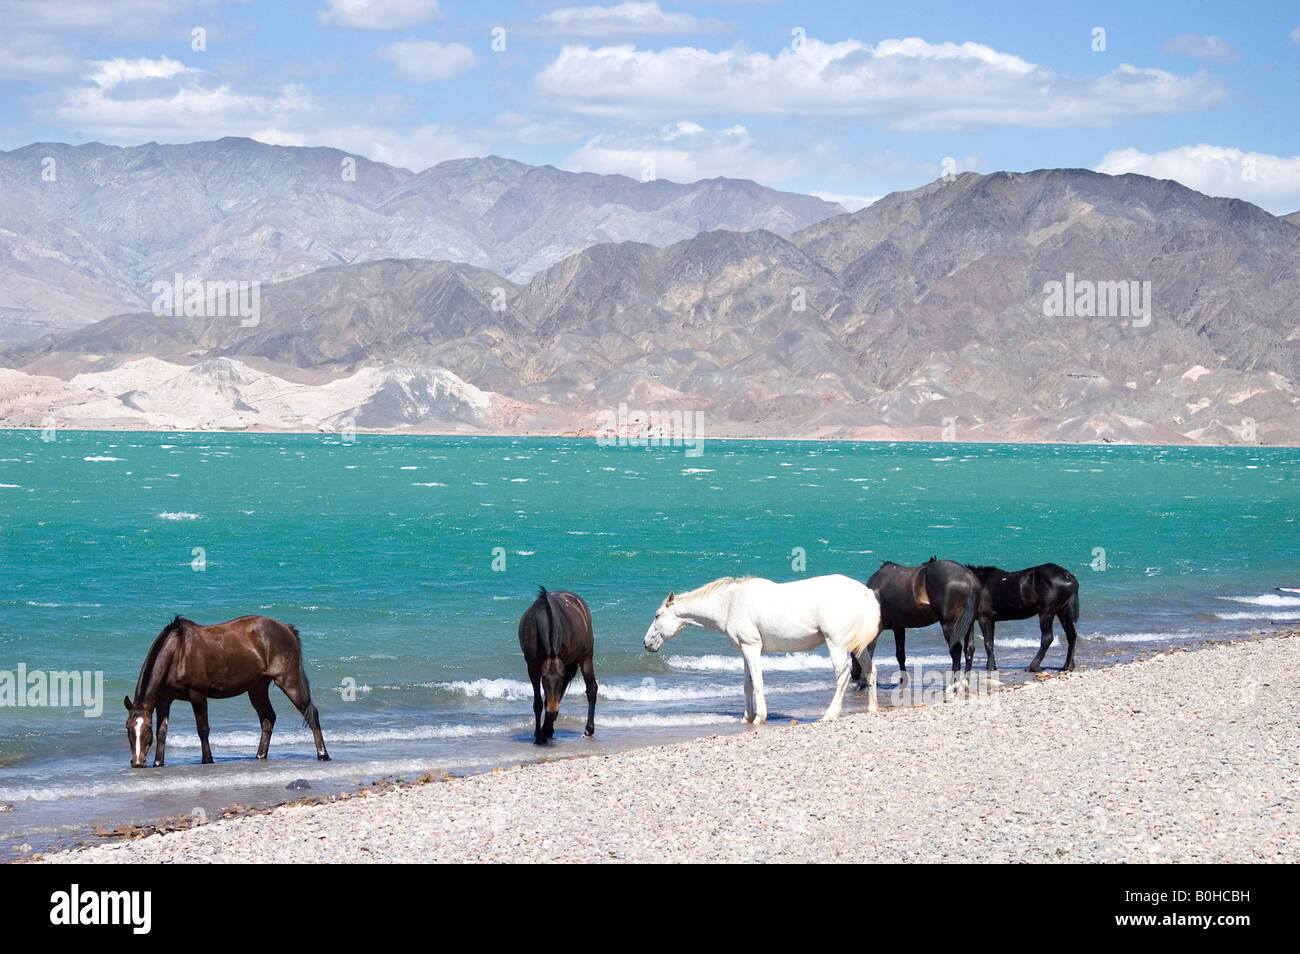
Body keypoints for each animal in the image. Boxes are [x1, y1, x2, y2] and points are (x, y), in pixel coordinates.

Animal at [123, 621, 330, 769]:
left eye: (146, 728)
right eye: (128, 727)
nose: (137, 762)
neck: (177, 653)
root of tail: (287, 629)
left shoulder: (197, 695)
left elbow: (203, 729)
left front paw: (207, 760)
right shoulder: (164, 700)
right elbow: (162, 732)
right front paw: (158, 763)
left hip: (288, 681)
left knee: (311, 713)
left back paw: (323, 754)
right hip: (257, 688)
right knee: (268, 718)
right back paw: (260, 756)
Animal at [517, 590, 598, 748]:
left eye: (559, 683)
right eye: (544, 682)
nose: (553, 713)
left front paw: (543, 733)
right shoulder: (533, 668)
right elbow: (538, 703)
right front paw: (539, 736)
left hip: (585, 656)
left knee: (592, 688)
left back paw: (588, 729)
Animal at [642, 574, 883, 722]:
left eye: (657, 615)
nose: (646, 644)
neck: (730, 603)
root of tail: (864, 593)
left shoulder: (752, 648)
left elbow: (757, 683)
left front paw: (759, 717)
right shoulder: (745, 652)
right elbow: (747, 685)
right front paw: (747, 716)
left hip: (837, 646)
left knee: (842, 677)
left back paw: (830, 714)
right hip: (858, 647)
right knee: (870, 671)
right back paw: (872, 708)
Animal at [847, 556, 977, 691]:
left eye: (851, 653)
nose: (854, 675)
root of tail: (968, 576)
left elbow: (869, 653)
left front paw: (861, 683)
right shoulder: (898, 627)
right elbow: (900, 655)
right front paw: (903, 682)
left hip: (949, 625)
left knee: (956, 650)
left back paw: (953, 685)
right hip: (968, 623)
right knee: (969, 649)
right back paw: (965, 683)